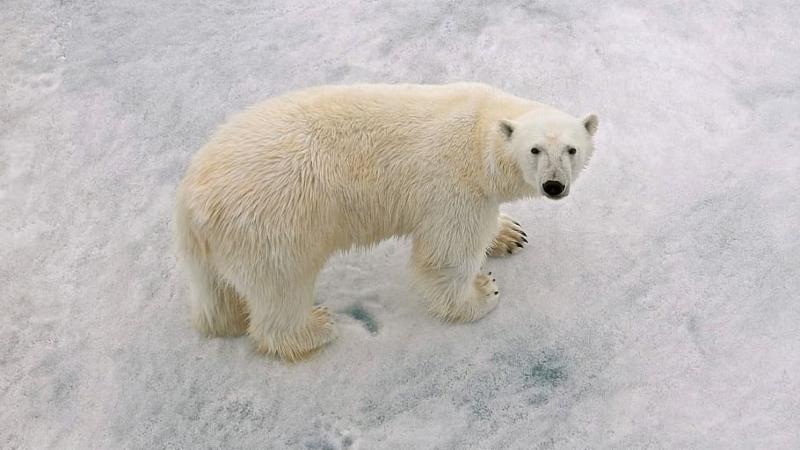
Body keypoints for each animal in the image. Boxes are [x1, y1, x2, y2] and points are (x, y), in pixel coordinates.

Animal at [174, 82, 599, 361]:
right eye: (535, 150)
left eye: (572, 149)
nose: (554, 185)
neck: (478, 133)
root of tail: (191, 202)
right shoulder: (454, 188)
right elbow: (445, 255)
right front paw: (482, 292)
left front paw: (510, 234)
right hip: (275, 224)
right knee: (282, 288)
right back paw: (316, 327)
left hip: (222, 242)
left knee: (216, 293)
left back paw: (228, 320)